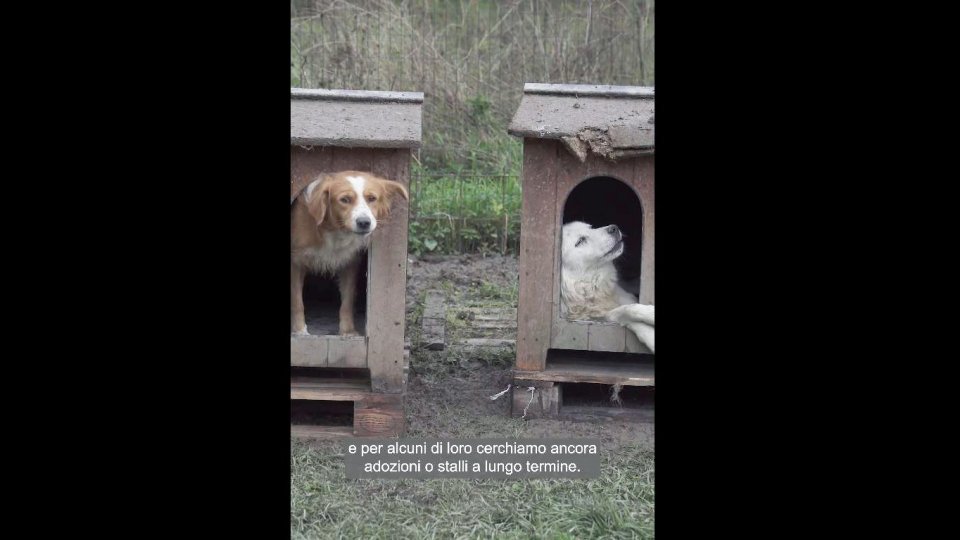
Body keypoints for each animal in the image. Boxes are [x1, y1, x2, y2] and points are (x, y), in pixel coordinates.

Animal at [294, 171, 410, 336]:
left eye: (372, 198)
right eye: (345, 200)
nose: (364, 222)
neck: (334, 232)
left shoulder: (349, 264)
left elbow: (347, 301)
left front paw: (348, 331)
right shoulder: (295, 263)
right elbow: (297, 301)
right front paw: (299, 331)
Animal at [560, 220, 656, 352]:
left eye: (591, 227)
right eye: (580, 241)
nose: (613, 228)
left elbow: (632, 307)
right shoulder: (601, 317)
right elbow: (627, 311)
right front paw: (650, 335)